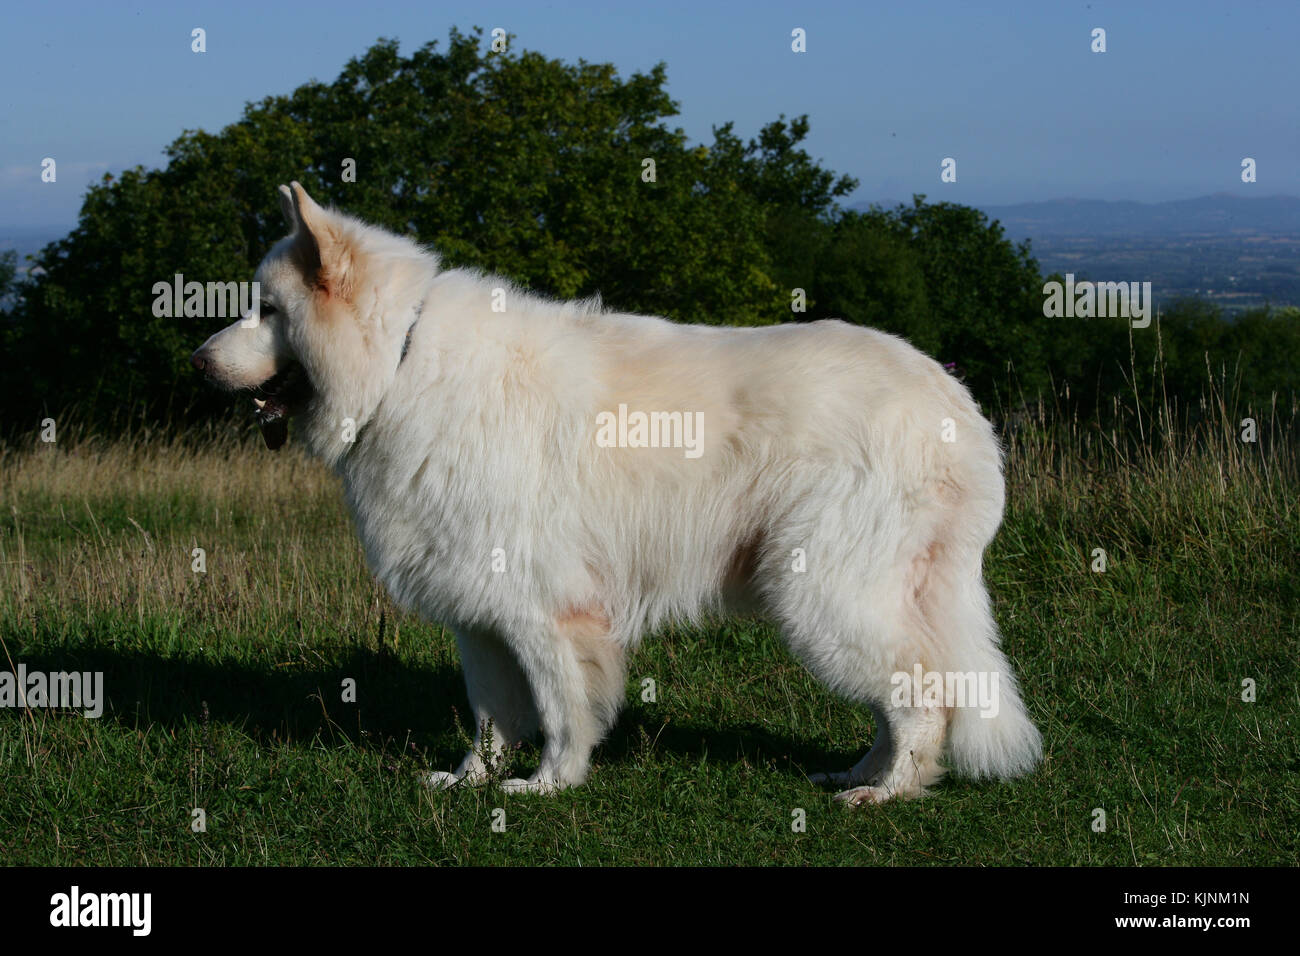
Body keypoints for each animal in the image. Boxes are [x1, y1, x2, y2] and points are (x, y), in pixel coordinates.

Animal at [192, 183, 1040, 806]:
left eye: (268, 311)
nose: (196, 361)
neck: (397, 362)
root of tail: (956, 405)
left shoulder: (545, 613)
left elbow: (561, 711)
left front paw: (546, 787)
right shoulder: (480, 616)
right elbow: (490, 717)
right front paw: (471, 782)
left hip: (820, 594)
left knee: (922, 698)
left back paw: (886, 793)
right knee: (901, 700)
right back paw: (858, 773)